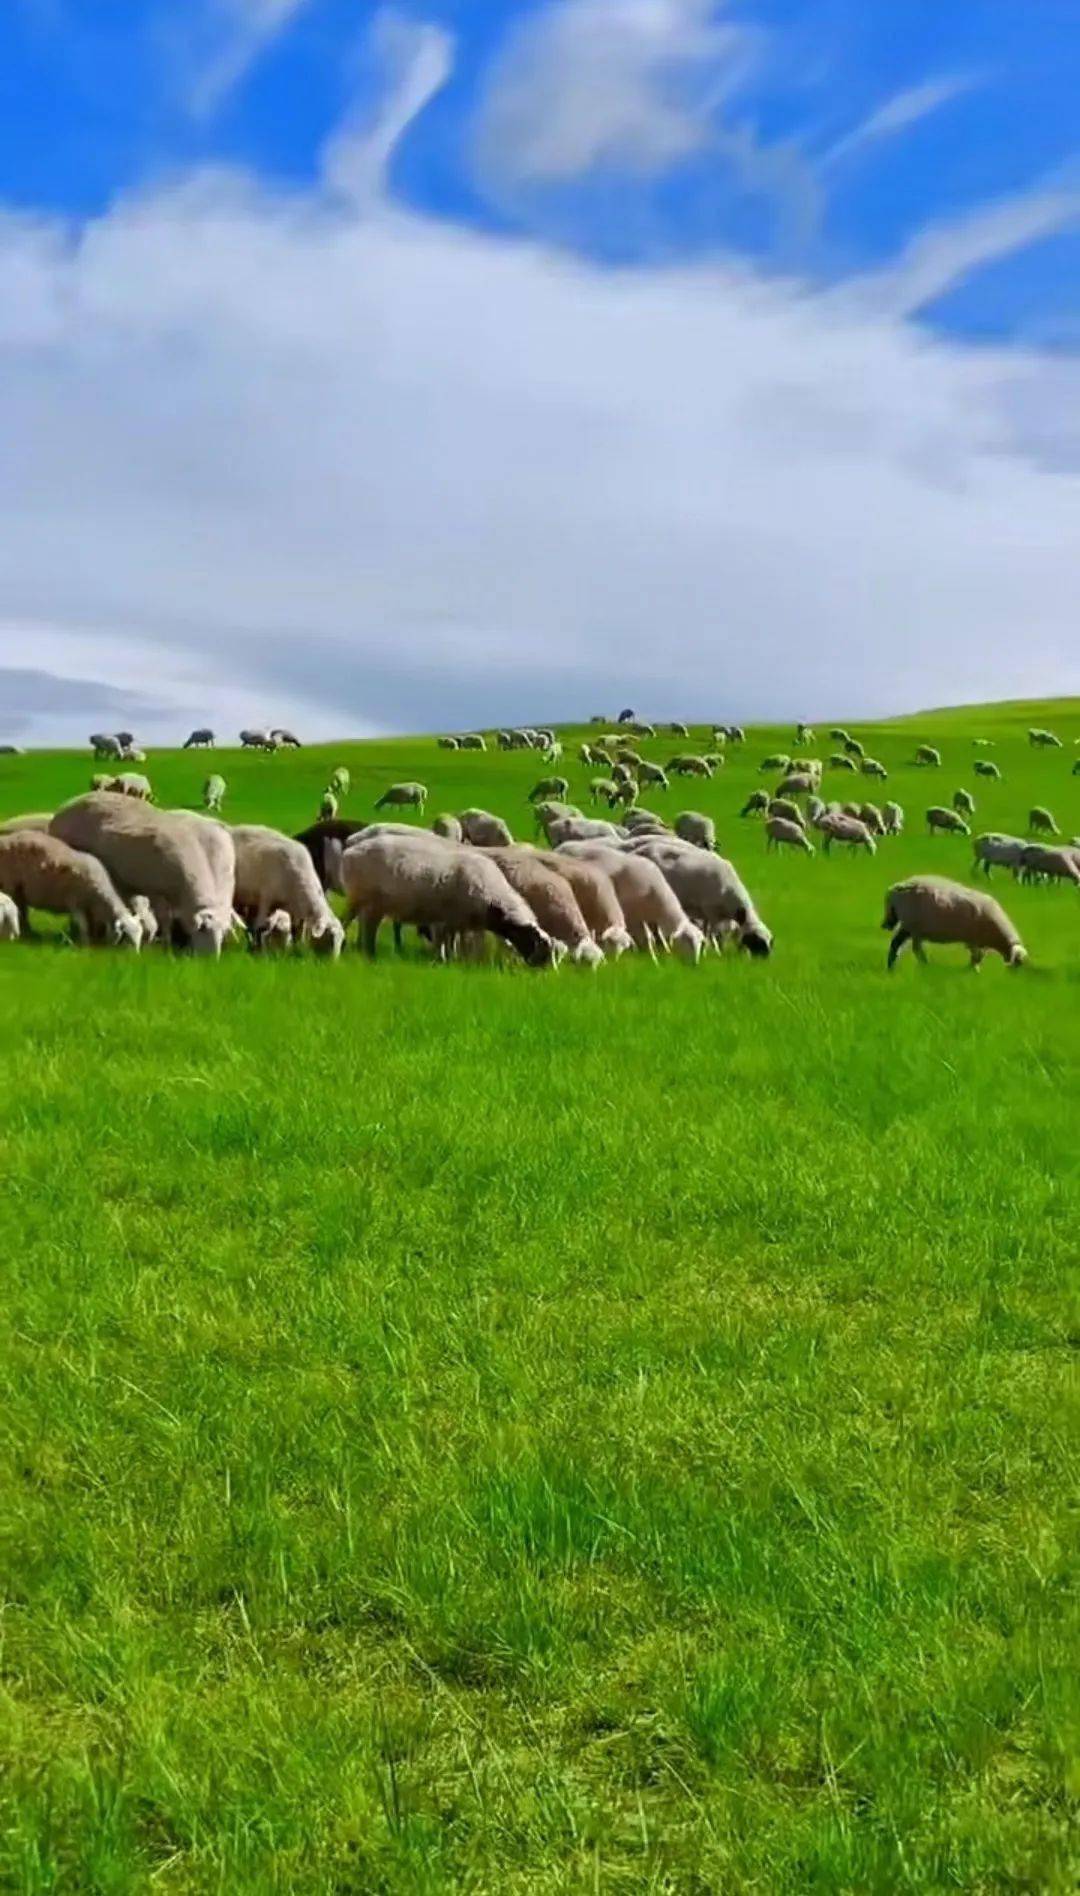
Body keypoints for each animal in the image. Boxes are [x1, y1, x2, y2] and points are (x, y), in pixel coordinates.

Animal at [0, 830, 141, 948]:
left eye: (140, 935)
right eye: (127, 936)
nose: (135, 957)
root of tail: (6, 838)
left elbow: (90, 925)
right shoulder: (75, 902)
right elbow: (84, 926)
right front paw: (85, 945)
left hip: (19, 891)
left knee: (22, 910)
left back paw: (29, 933)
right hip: (10, 885)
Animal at [49, 792, 231, 955]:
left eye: (224, 932)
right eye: (203, 928)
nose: (212, 960)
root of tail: (71, 802)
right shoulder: (156, 891)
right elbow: (164, 920)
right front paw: (165, 945)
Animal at [549, 845, 701, 963]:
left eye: (701, 942)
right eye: (688, 940)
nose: (695, 964)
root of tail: (562, 847)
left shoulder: (644, 918)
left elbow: (650, 939)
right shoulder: (632, 915)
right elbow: (645, 938)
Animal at [879, 868, 1023, 963]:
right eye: (1019, 962)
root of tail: (896, 889)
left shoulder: (974, 941)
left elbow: (976, 957)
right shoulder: (975, 940)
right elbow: (976, 958)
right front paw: (973, 972)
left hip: (909, 926)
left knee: (897, 944)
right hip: (913, 925)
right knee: (913, 948)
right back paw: (925, 965)